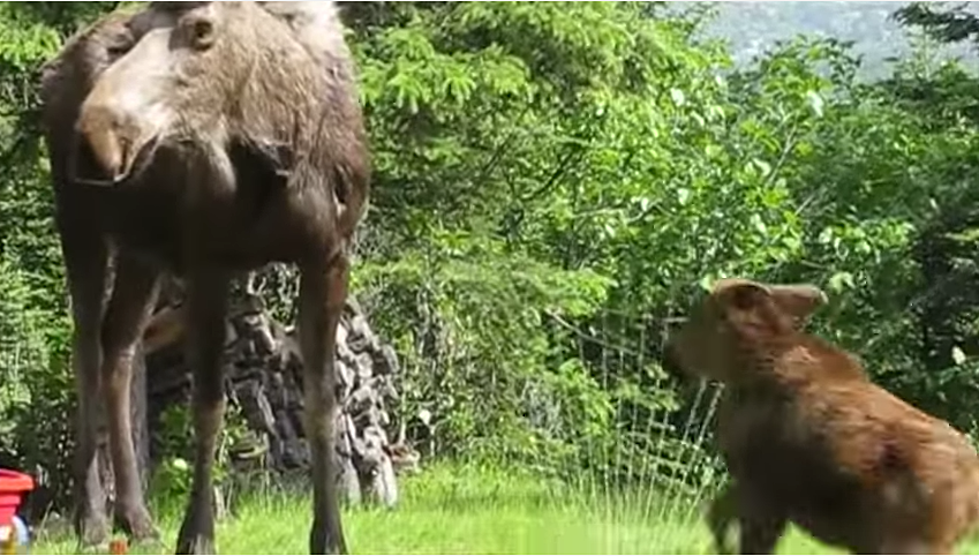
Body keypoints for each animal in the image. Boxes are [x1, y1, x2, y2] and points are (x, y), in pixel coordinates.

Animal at [37, 2, 368, 552]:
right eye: (132, 36)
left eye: (203, 29)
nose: (95, 139)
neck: (280, 143)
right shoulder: (209, 259)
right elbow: (208, 406)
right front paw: (197, 532)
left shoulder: (329, 255)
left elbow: (323, 402)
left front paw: (329, 535)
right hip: (79, 219)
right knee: (85, 346)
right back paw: (94, 518)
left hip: (142, 249)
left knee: (118, 343)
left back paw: (137, 517)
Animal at [668, 280, 979, 552]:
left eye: (699, 316)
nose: (672, 354)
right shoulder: (755, 480)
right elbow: (715, 511)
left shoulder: (763, 483)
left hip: (908, 539)